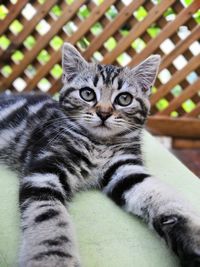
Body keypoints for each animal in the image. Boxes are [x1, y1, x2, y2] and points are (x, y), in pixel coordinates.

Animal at [0, 43, 200, 266]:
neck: (99, 145)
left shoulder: (126, 169)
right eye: (87, 93)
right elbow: (48, 219)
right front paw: (54, 258)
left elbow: (162, 195)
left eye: (124, 98)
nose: (104, 113)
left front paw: (190, 235)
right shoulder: (45, 169)